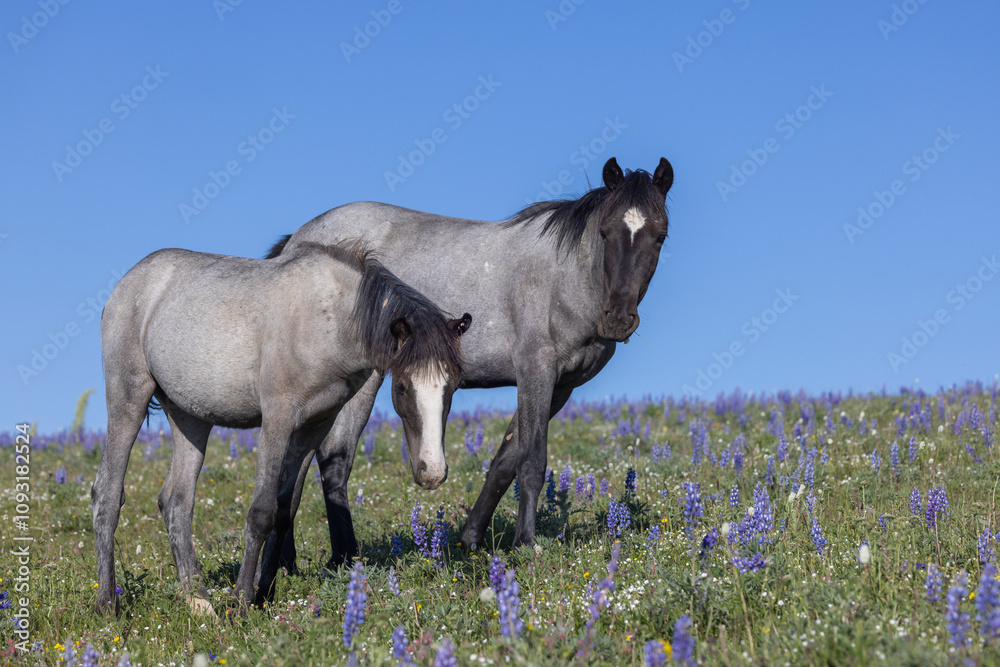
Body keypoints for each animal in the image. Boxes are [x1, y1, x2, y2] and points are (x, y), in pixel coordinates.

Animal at [92, 241, 471, 614]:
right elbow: (261, 512)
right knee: (107, 494)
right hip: (128, 400)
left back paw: (198, 600)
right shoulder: (277, 420)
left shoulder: (313, 427)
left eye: (453, 386)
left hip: (190, 418)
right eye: (403, 387)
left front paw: (264, 594)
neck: (329, 320)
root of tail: (129, 283)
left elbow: (285, 510)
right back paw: (108, 604)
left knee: (176, 503)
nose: (432, 472)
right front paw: (242, 603)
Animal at [262, 156, 673, 573]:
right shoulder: (536, 372)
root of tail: (297, 240)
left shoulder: (561, 387)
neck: (566, 276)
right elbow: (532, 461)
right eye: (605, 232)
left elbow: (505, 461)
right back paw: (336, 557)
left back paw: (288, 563)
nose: (618, 319)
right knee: (333, 459)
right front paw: (526, 543)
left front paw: (470, 539)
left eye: (660, 236)